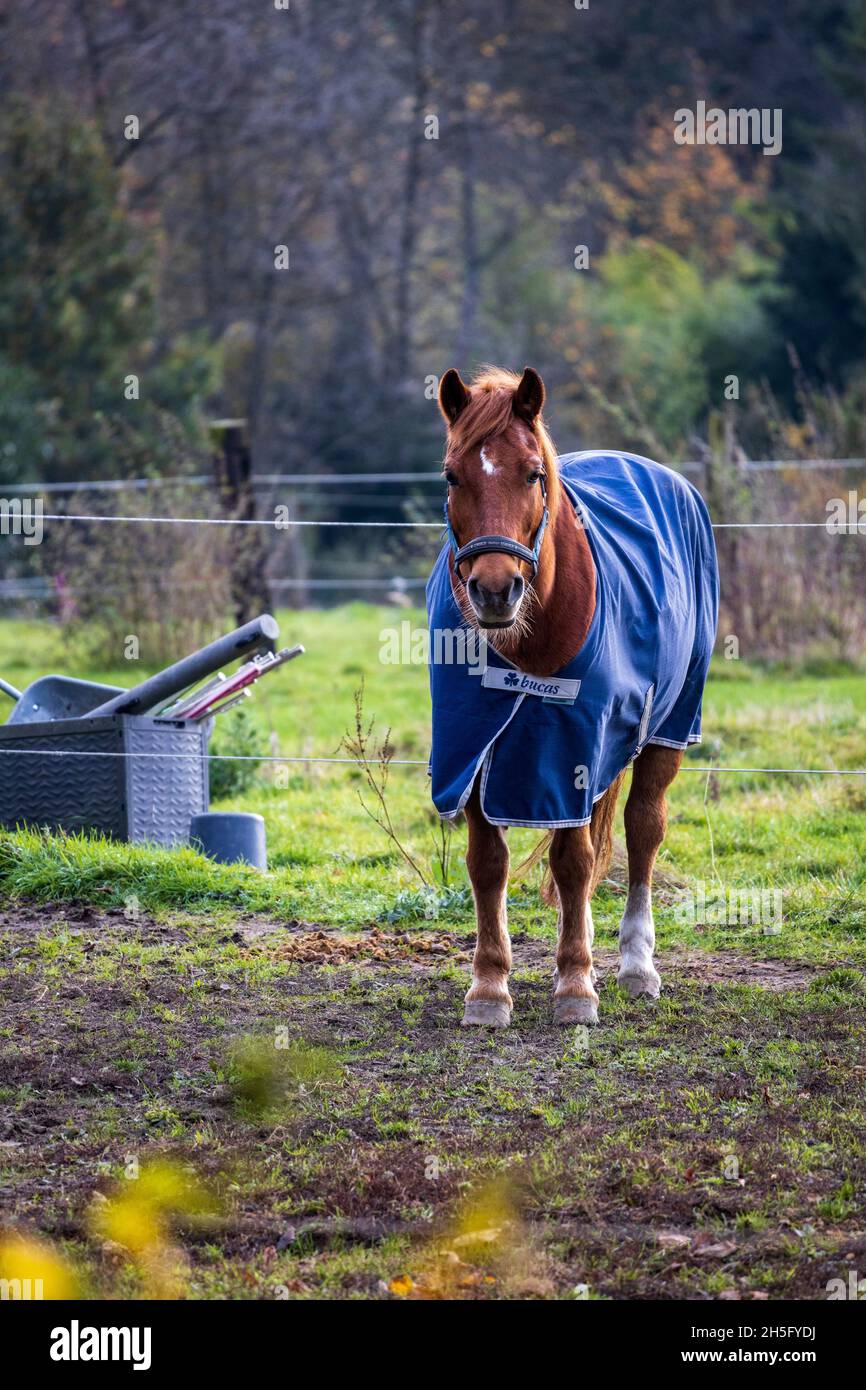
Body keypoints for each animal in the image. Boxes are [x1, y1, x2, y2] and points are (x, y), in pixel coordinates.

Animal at [430, 364, 717, 1028]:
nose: (495, 590)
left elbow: (575, 860)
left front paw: (576, 985)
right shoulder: (474, 750)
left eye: (534, 473)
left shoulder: (571, 750)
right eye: (452, 476)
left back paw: (636, 965)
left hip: (669, 728)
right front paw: (489, 987)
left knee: (642, 830)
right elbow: (489, 864)